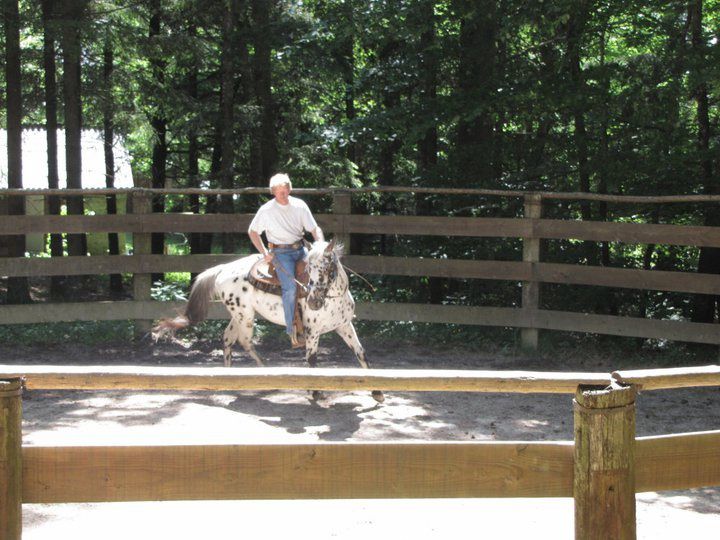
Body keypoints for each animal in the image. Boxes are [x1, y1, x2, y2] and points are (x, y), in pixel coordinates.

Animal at [153, 239, 384, 402]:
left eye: (328, 268)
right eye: (309, 268)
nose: (313, 301)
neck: (333, 298)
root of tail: (222, 269)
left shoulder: (344, 326)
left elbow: (361, 353)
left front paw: (377, 391)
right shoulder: (312, 333)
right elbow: (312, 360)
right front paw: (316, 392)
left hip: (239, 316)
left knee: (228, 338)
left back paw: (230, 377)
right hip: (244, 316)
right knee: (244, 341)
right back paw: (265, 372)